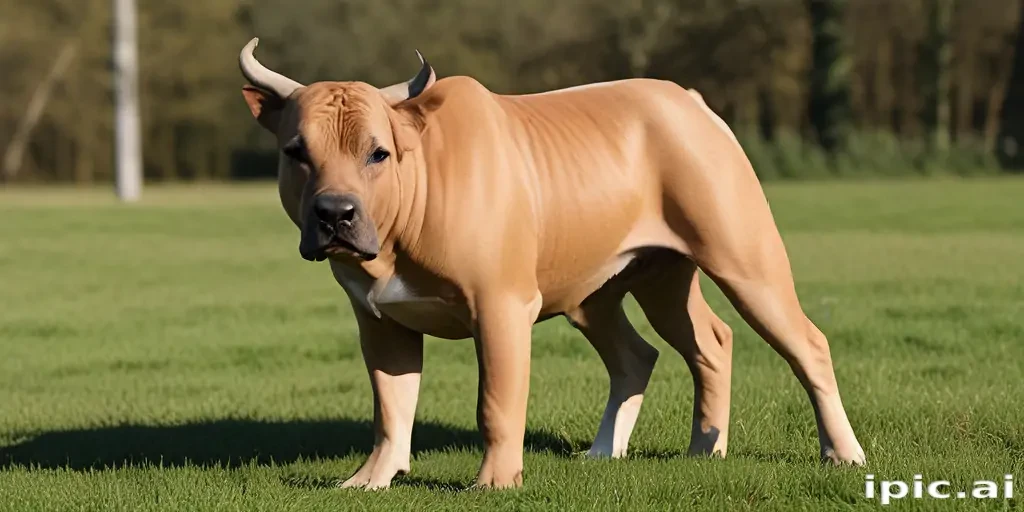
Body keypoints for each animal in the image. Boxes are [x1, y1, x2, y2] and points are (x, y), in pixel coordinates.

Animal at [237, 37, 865, 490]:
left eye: (378, 153)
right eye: (296, 152)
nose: (335, 214)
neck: (417, 194)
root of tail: (689, 101)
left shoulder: (500, 308)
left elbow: (496, 402)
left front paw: (495, 483)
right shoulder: (380, 320)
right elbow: (391, 406)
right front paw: (371, 480)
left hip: (743, 257)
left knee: (805, 343)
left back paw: (842, 453)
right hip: (622, 283)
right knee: (678, 347)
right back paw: (676, 450)